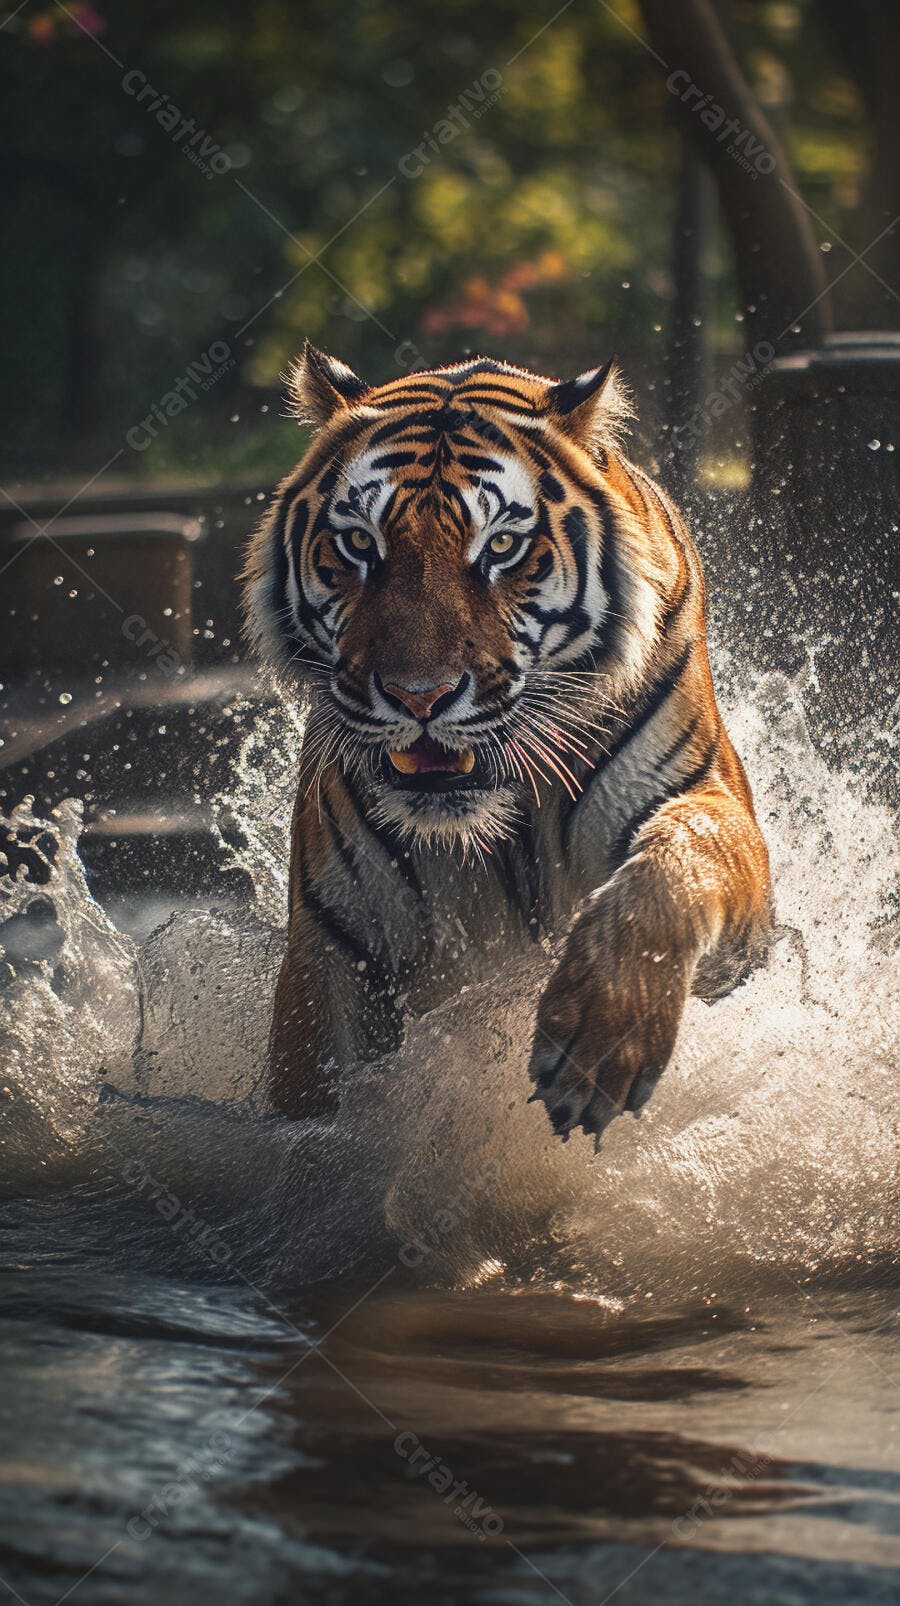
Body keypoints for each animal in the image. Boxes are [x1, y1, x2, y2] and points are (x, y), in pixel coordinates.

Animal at [243, 343, 771, 1142]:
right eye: (360, 542)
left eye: (500, 547)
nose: (419, 696)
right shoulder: (338, 939)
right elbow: (309, 1093)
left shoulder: (707, 806)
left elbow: (678, 863)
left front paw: (596, 1043)